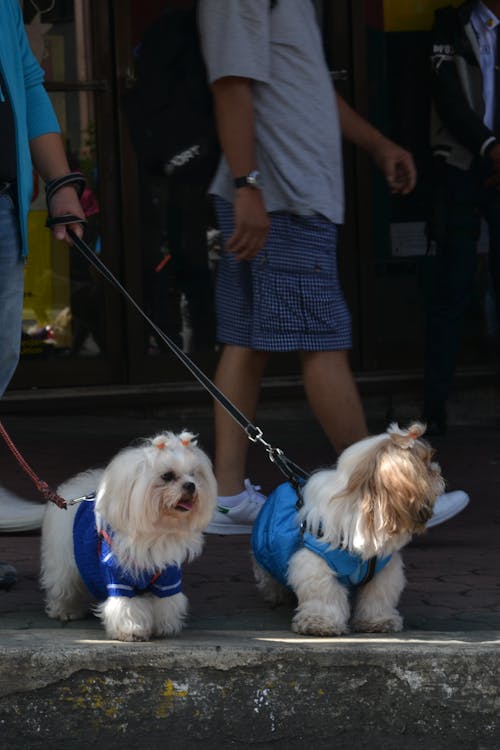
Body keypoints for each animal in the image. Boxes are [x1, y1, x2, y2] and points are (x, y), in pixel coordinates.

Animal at [40, 432, 216, 644]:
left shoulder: (168, 577)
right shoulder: (118, 576)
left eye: (194, 474)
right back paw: (65, 610)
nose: (191, 485)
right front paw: (131, 630)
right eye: (167, 476)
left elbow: (165, 603)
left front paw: (164, 626)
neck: (156, 534)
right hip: (64, 559)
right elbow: (126, 606)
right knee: (63, 584)